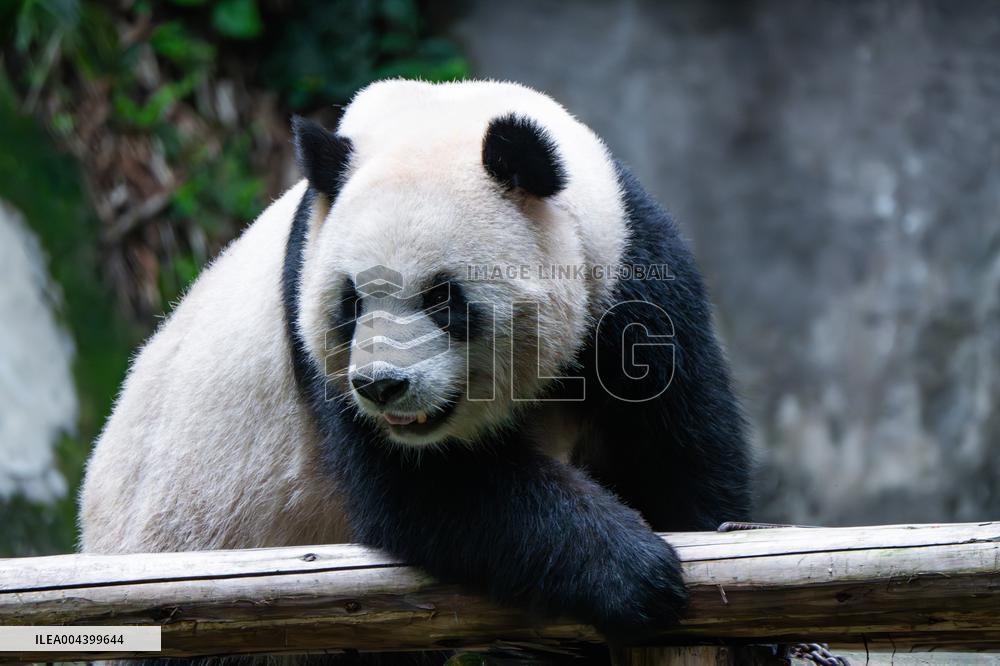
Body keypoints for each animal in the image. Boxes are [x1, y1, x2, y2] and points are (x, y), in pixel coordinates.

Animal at [80, 79, 750, 640]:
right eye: (351, 301)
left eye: (443, 298)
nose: (382, 385)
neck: (438, 114)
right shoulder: (310, 326)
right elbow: (428, 490)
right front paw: (636, 574)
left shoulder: (625, 266)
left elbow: (676, 441)